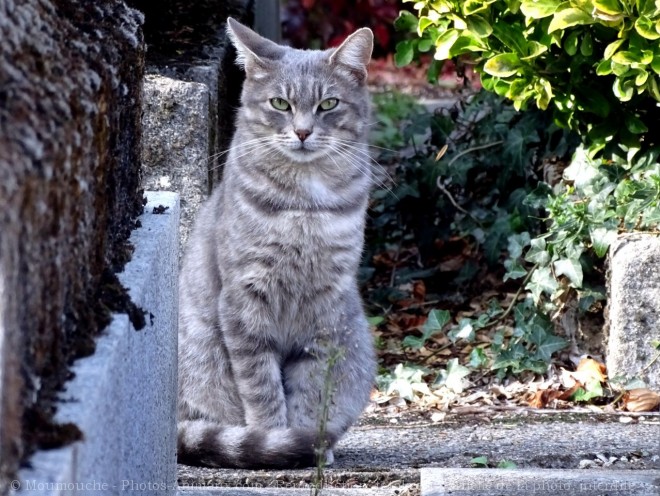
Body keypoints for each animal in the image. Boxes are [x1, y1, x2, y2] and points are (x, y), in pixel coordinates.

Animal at [177, 18, 376, 468]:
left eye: (328, 104)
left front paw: (306, 441)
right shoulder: (245, 299)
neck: (305, 206)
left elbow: (311, 383)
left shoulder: (326, 304)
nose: (302, 131)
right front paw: (274, 438)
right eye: (280, 104)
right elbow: (261, 384)